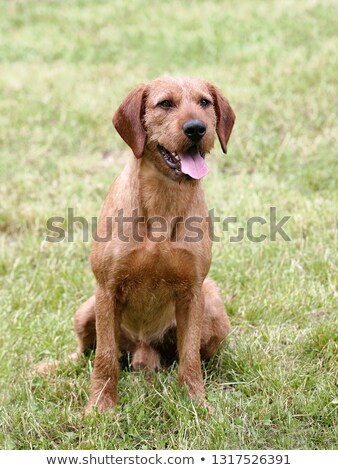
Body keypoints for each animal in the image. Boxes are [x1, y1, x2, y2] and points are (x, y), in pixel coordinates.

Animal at [41, 76, 235, 412]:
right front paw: (100, 407)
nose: (197, 128)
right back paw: (50, 368)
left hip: (214, 311)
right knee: (83, 353)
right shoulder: (107, 290)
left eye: (204, 102)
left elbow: (190, 358)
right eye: (165, 103)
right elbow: (105, 358)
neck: (163, 200)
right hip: (86, 310)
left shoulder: (192, 292)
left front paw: (196, 403)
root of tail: (143, 350)